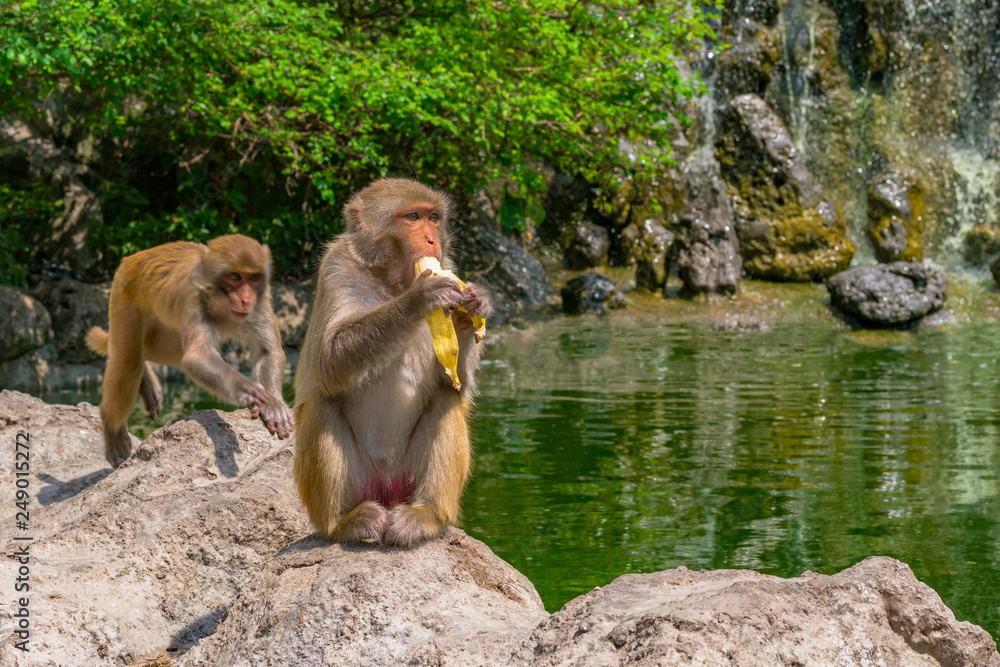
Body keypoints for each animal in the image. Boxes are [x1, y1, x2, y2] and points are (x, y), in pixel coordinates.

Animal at [86, 234, 294, 468]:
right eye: (235, 277)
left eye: (254, 278)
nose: (245, 299)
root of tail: (133, 257)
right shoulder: (194, 298)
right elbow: (197, 357)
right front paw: (247, 389)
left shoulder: (261, 301)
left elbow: (268, 351)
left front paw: (274, 405)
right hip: (125, 295)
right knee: (127, 359)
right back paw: (113, 430)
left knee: (153, 351)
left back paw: (147, 381)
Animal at [293, 177, 492, 548]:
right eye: (412, 217)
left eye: (434, 218)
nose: (432, 240)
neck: (390, 281)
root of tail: (386, 491)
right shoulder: (335, 267)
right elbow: (328, 361)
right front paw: (420, 298)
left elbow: (455, 383)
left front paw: (472, 306)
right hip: (358, 483)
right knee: (322, 402)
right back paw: (342, 524)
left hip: (406, 481)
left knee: (446, 399)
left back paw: (427, 517)